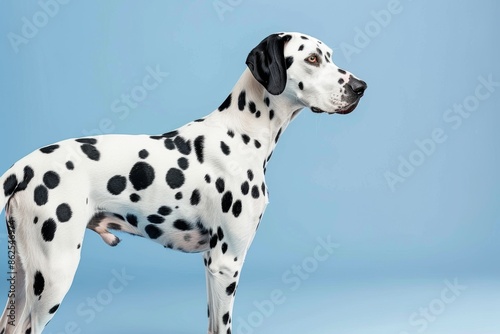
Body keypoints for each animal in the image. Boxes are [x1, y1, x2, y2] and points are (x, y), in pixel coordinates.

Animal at [0, 32, 368, 334]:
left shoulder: (211, 264)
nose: (360, 87)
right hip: (53, 276)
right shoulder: (226, 263)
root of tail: (24, 167)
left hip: (25, 277)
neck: (241, 134)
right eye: (312, 59)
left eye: (329, 55)